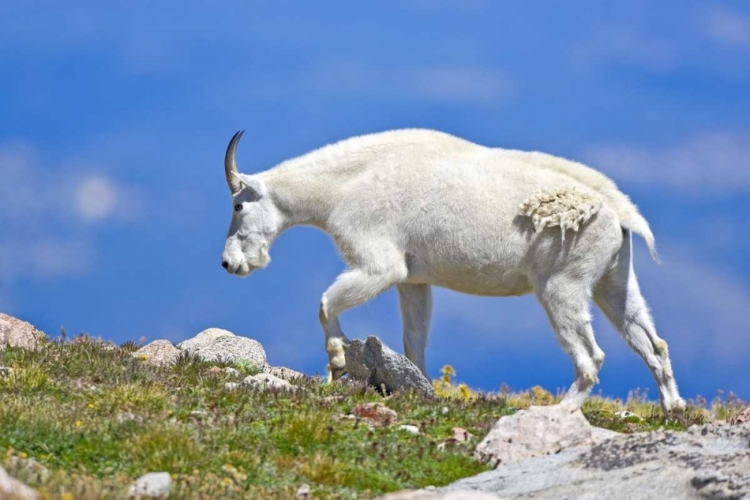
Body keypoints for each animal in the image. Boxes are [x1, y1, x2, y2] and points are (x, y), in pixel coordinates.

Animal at [219, 129, 688, 414]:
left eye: (238, 205)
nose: (229, 263)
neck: (340, 188)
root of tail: (620, 212)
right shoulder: (414, 279)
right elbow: (414, 340)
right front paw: (420, 387)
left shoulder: (379, 263)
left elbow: (325, 302)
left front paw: (336, 362)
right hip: (614, 277)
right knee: (651, 340)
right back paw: (673, 406)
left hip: (563, 284)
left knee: (592, 357)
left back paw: (561, 410)